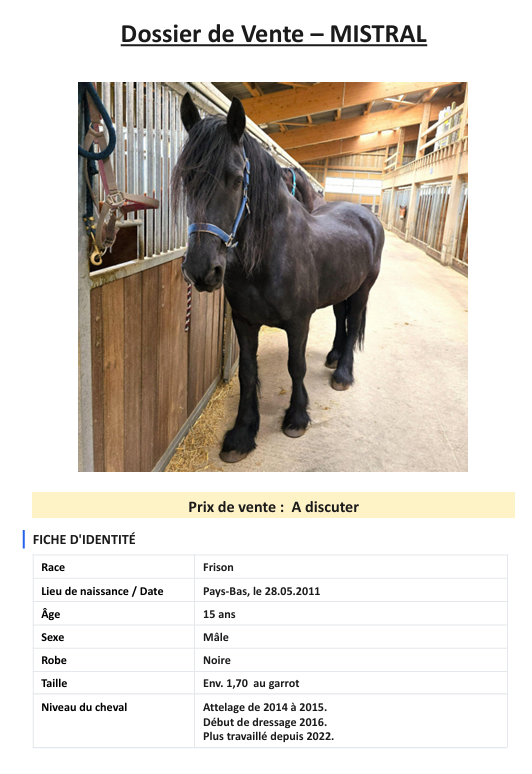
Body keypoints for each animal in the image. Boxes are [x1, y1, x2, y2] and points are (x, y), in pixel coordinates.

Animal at [172, 94, 384, 463]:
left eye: (236, 178)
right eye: (187, 178)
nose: (200, 270)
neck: (269, 258)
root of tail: (365, 214)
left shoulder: (299, 323)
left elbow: (295, 366)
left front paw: (296, 419)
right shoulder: (244, 322)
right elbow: (247, 372)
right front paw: (242, 434)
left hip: (362, 290)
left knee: (354, 320)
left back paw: (343, 373)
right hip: (341, 289)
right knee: (341, 319)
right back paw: (332, 357)